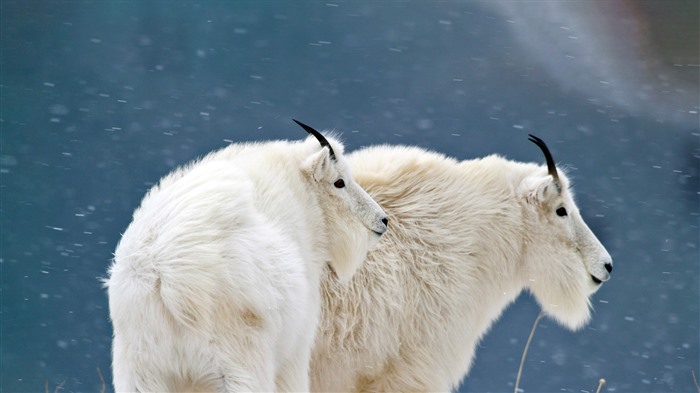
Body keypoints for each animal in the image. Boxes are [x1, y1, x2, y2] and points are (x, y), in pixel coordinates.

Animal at [104, 120, 388, 392]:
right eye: (339, 182)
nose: (382, 220)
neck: (302, 200)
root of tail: (167, 276)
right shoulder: (294, 354)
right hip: (239, 364)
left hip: (141, 370)